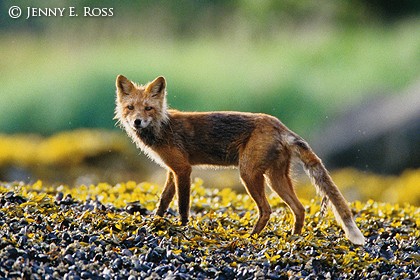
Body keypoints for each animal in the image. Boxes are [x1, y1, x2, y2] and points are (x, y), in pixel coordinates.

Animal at [114, 75, 364, 245]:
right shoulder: (171, 170)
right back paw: (294, 238)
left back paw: (251, 237)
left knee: (267, 210)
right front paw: (155, 222)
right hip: (275, 179)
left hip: (249, 174)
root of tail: (279, 125)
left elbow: (183, 206)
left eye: (148, 108)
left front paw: (182, 227)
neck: (163, 127)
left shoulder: (183, 169)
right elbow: (163, 202)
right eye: (130, 108)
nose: (137, 122)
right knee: (300, 208)